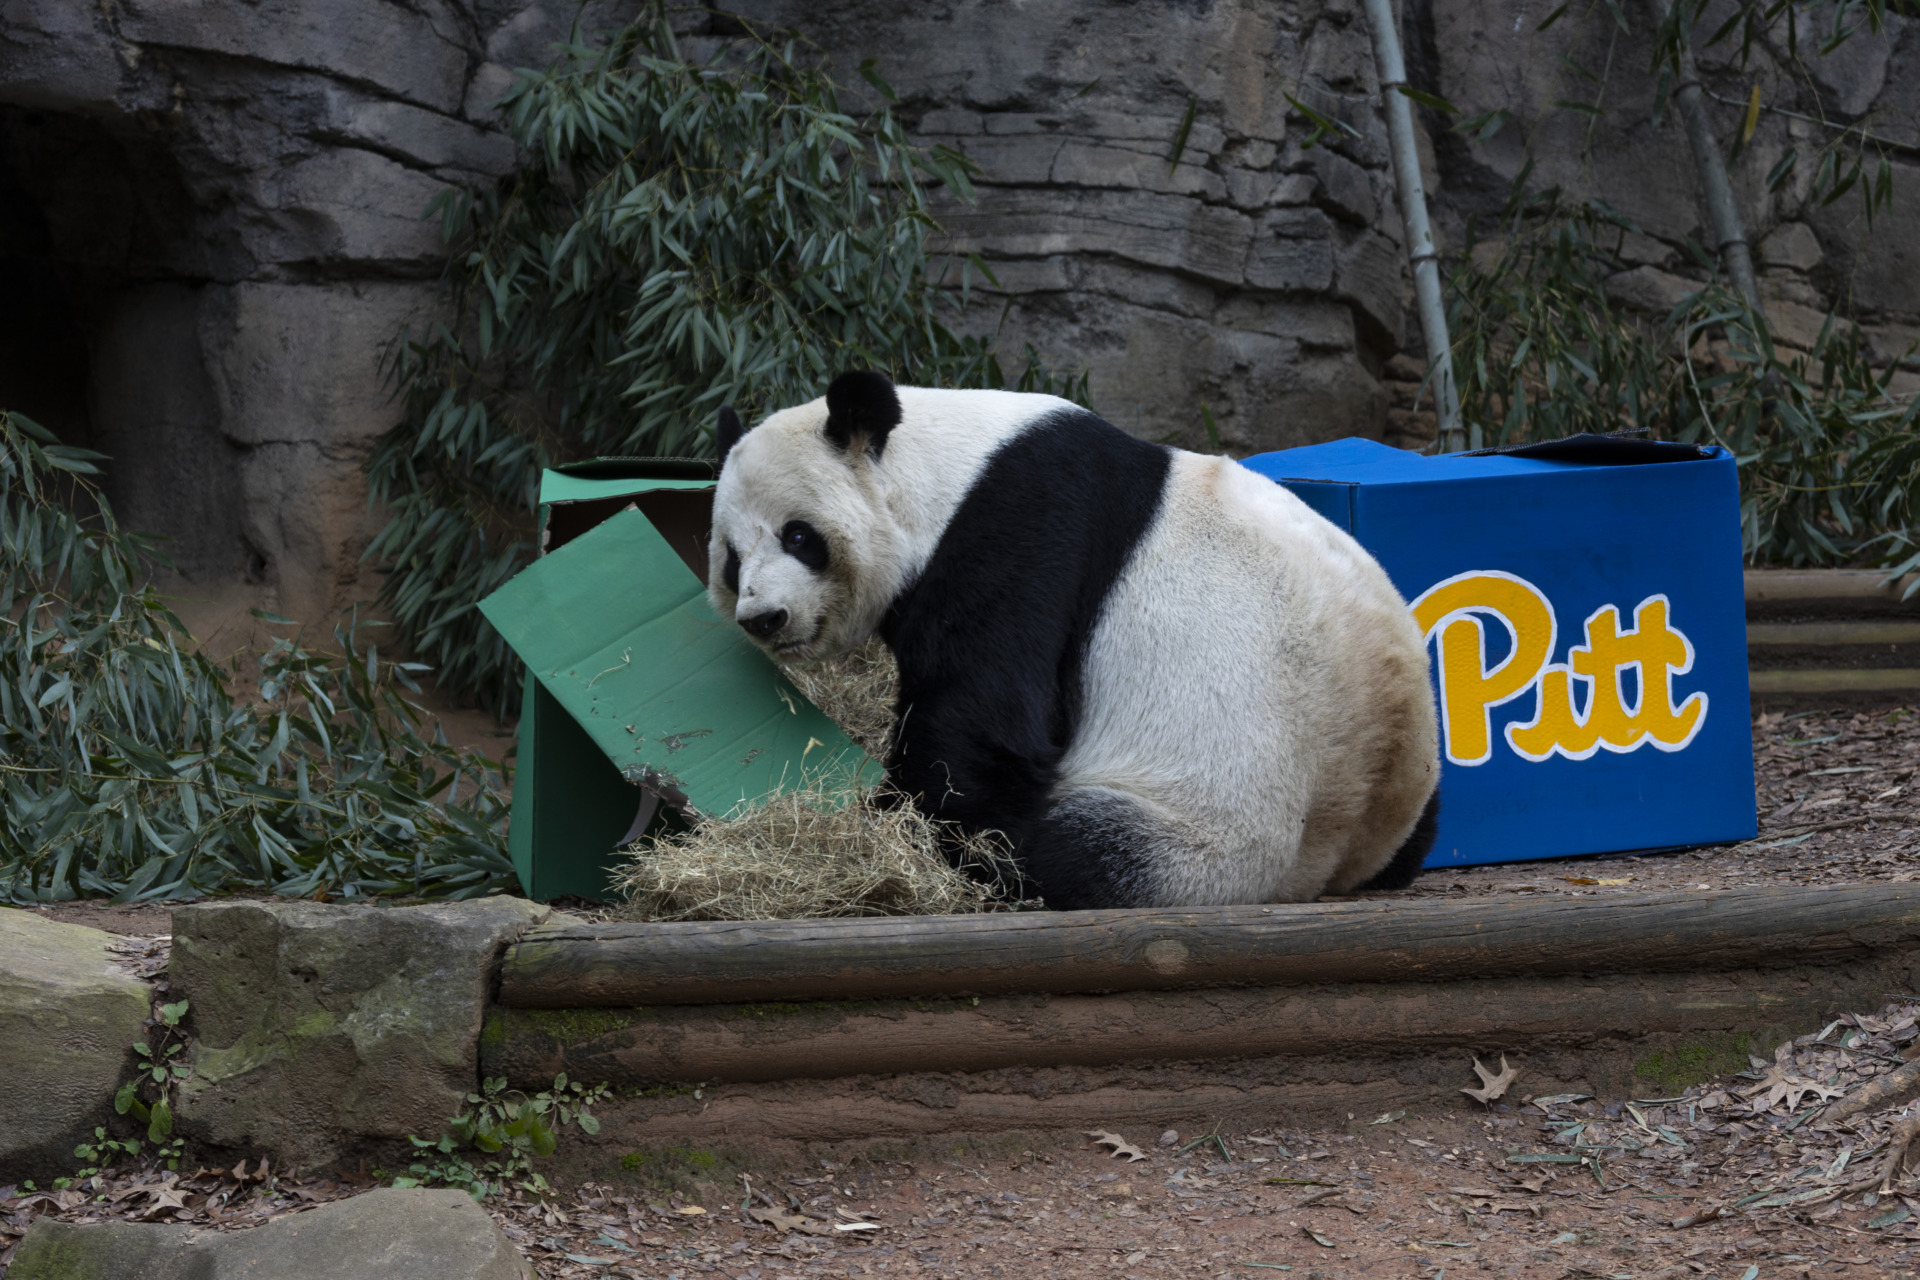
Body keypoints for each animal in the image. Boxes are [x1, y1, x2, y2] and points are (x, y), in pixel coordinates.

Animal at [706, 370, 1440, 910]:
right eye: (733, 561)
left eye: (800, 536)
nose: (764, 618)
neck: (945, 470)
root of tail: (1333, 858)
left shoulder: (1021, 535)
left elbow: (981, 724)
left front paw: (894, 817)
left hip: (1204, 828)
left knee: (1071, 854)